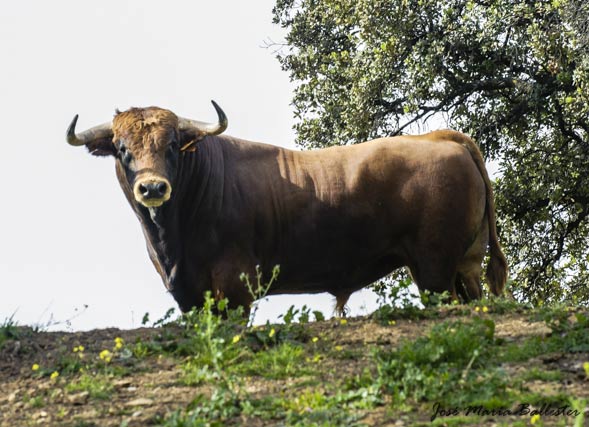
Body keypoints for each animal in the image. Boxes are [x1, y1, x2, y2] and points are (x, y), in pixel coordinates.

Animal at [64, 100, 506, 314]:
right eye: (122, 149)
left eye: (173, 145)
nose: (152, 187)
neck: (172, 242)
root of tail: (438, 138)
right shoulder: (189, 294)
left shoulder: (234, 284)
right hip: (462, 265)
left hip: (434, 268)